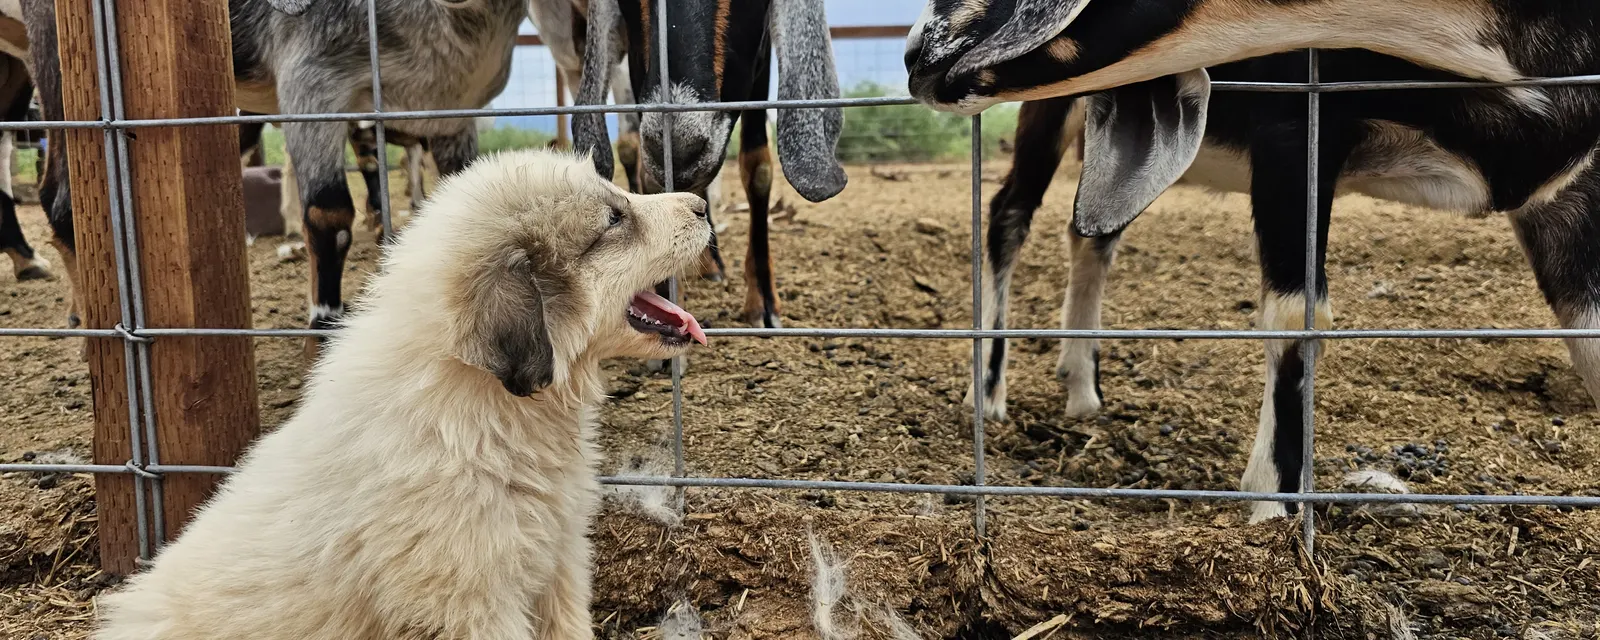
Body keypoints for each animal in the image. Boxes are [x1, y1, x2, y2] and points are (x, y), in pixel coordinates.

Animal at [21, 0, 526, 355]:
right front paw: (322, 338)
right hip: (60, 62)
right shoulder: (312, 78)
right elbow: (329, 215)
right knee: (60, 199)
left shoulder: (455, 112)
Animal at [907, 0, 1600, 522]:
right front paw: (1273, 508)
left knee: (1091, 234)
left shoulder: (1565, 192)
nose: (922, 51)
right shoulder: (1293, 127)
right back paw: (987, 394)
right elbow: (1298, 314)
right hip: (1050, 111)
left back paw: (1082, 388)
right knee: (1009, 216)